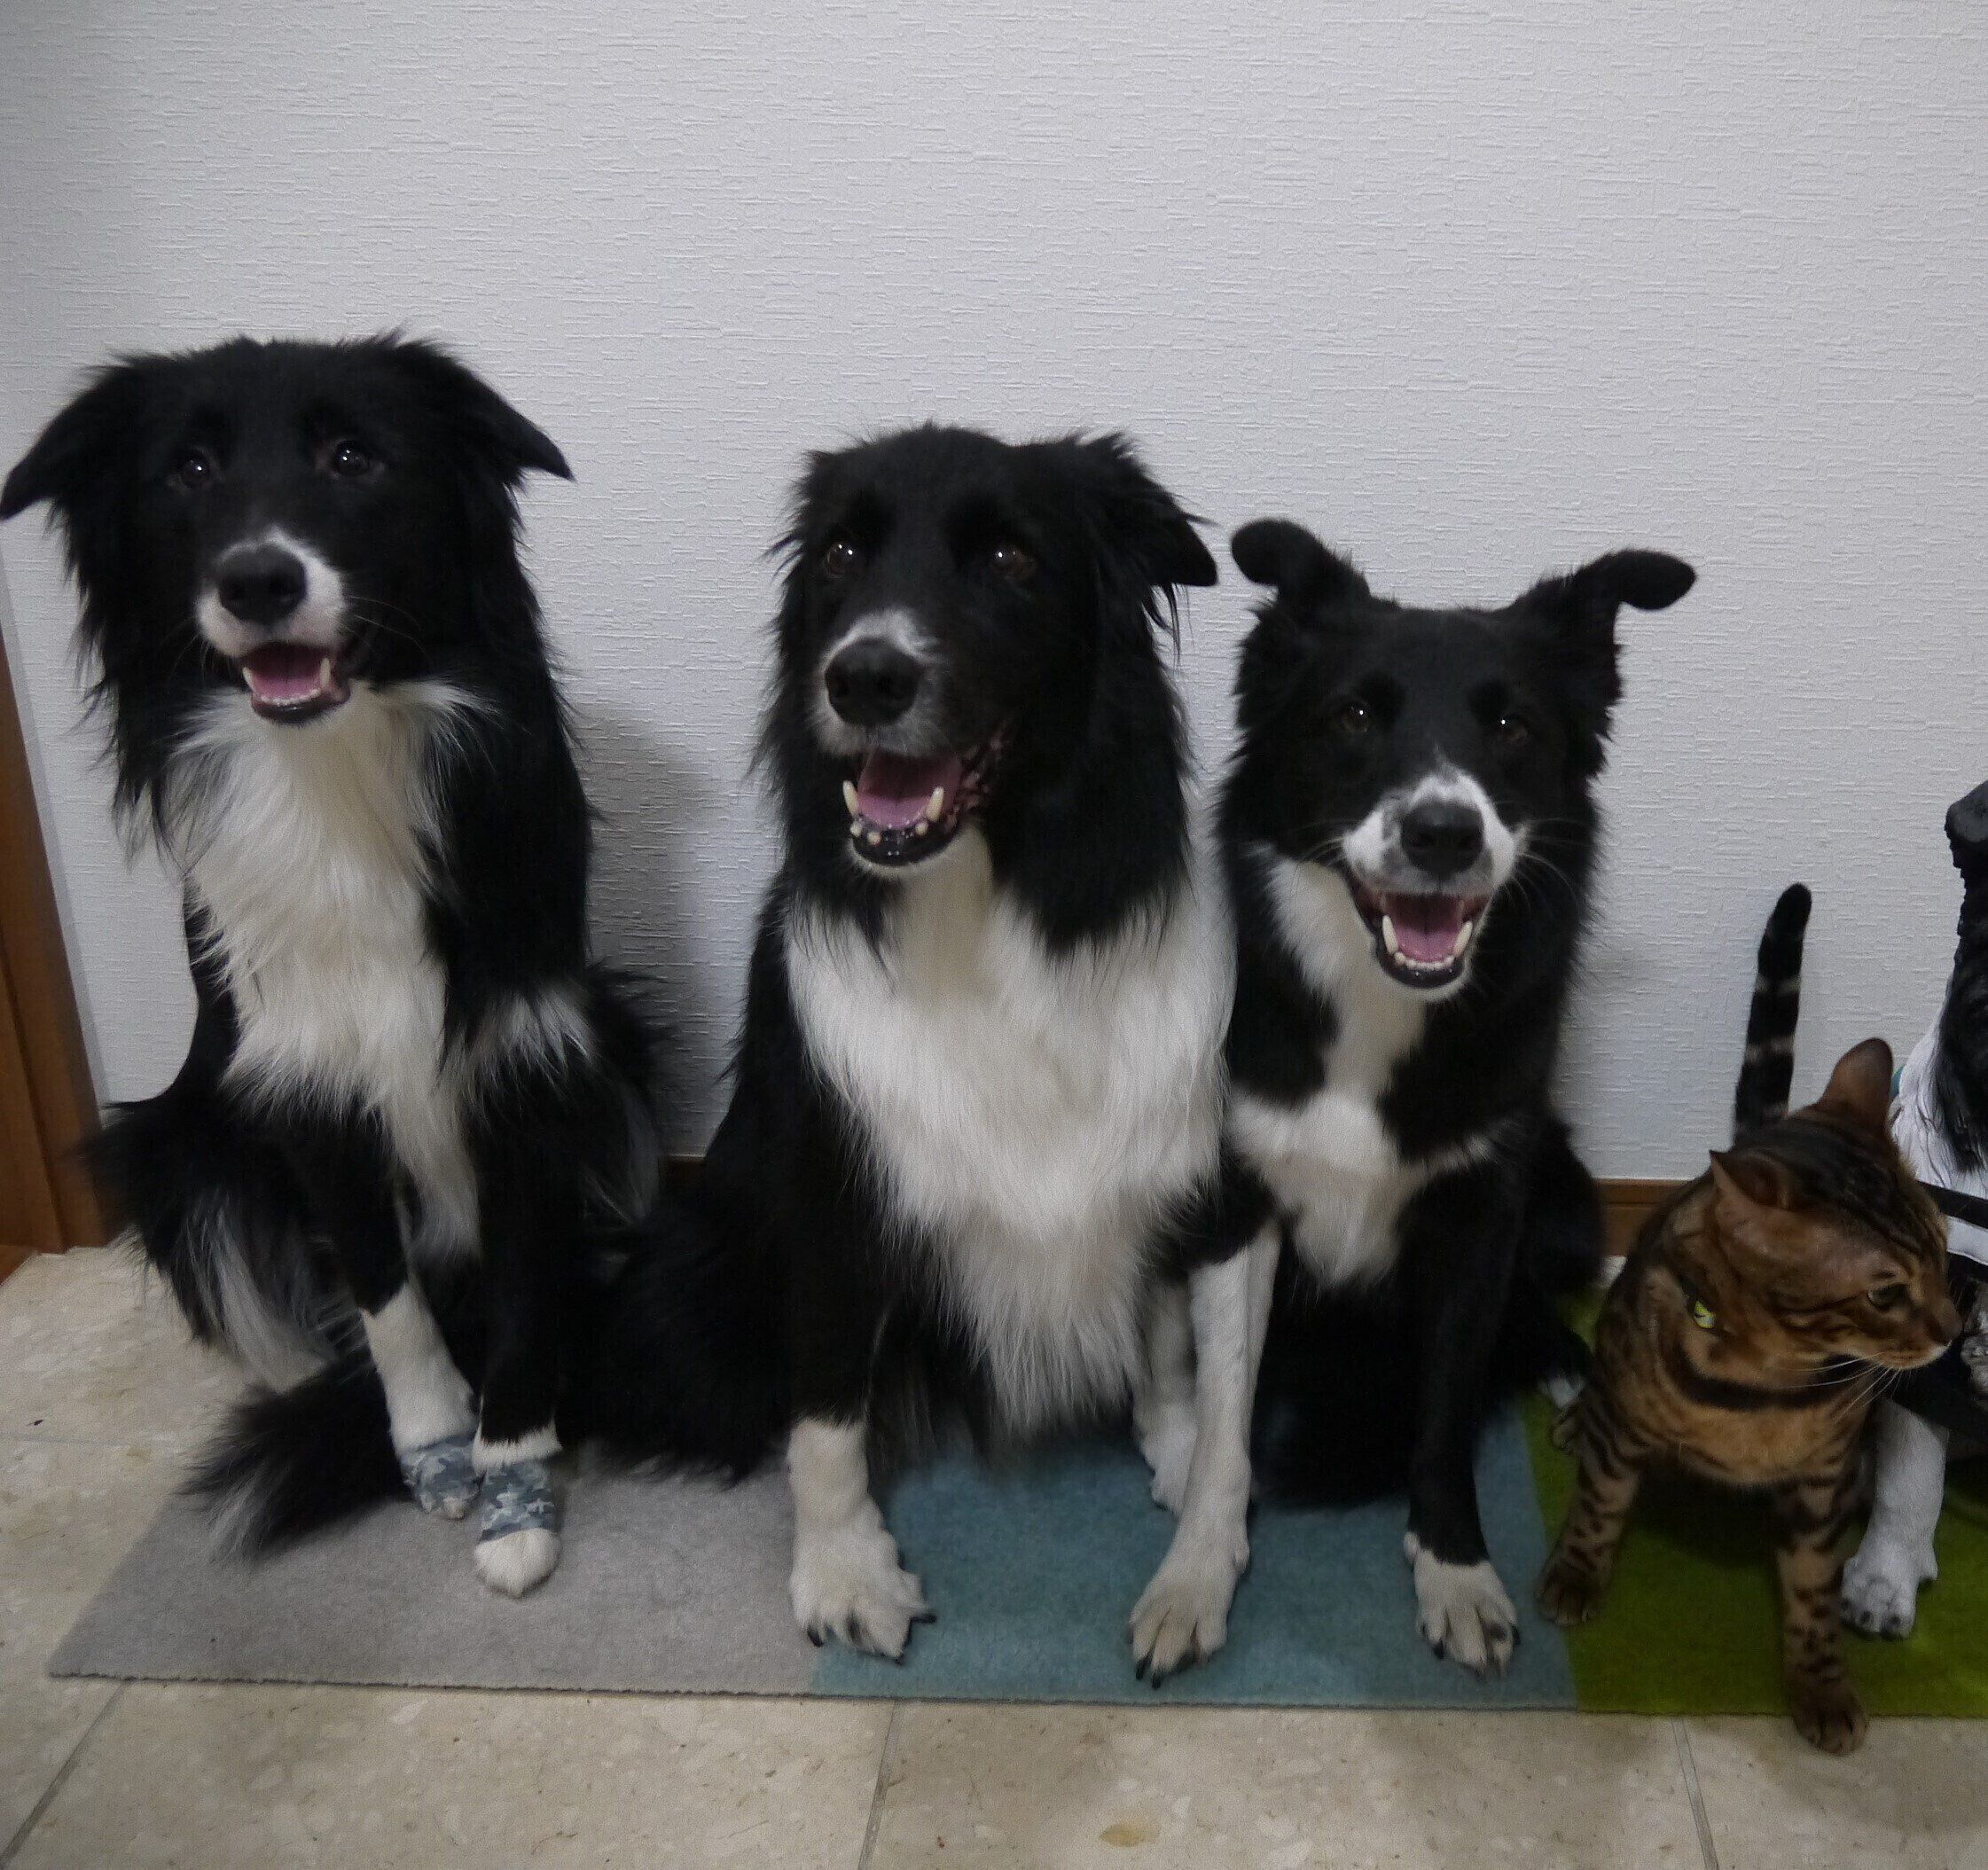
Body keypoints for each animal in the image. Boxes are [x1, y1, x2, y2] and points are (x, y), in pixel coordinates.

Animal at [1, 335, 658, 1596]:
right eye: (189, 469)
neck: (337, 775)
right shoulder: (305, 1069)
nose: (258, 580)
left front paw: (515, 1482)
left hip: (621, 1040)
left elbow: (521, 1283)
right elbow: (381, 1285)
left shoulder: (524, 1053)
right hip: (176, 1150)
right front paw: (434, 1445)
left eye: (353, 456)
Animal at [575, 424, 1243, 1669]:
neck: (976, 913)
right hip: (703, 1274)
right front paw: (845, 1571)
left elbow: (1171, 1335)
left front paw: (1185, 1461)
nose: (865, 676)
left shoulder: (1174, 1170)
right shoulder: (835, 1194)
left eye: (1011, 558)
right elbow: (827, 1405)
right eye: (841, 554)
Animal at [1181, 520, 1695, 1675]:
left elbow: (1446, 1413)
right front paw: (1189, 1572)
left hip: (1560, 1191)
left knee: (1535, 1299)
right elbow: (1224, 1414)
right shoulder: (1237, 1203)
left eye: (1509, 724)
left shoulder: (1476, 1215)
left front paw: (1455, 1570)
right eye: (1355, 716)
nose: (1443, 834)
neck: (1380, 1005)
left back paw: (1568, 1367)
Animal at [1537, 888, 1960, 1753]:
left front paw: (1821, 1686)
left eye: (1941, 1251)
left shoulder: (1823, 1483)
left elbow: (1813, 1595)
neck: (1766, 1379)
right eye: (1884, 1293)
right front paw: (1574, 1575)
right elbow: (1597, 1512)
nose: (1954, 1326)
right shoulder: (1624, 1441)